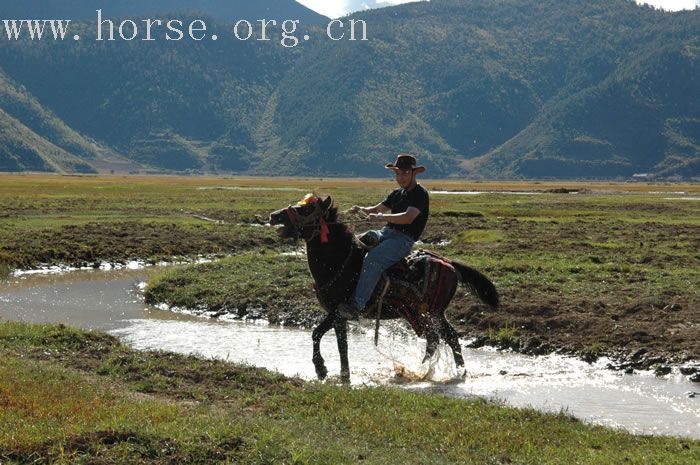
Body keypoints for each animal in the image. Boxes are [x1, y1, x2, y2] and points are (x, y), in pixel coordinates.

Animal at [268, 194, 498, 382]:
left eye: (306, 209)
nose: (274, 215)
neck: (339, 262)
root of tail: (449, 264)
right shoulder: (337, 315)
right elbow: (338, 344)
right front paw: (341, 374)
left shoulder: (339, 311)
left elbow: (319, 335)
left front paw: (322, 370)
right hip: (434, 314)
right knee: (449, 337)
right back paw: (457, 371)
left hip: (432, 314)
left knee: (438, 339)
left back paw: (429, 371)